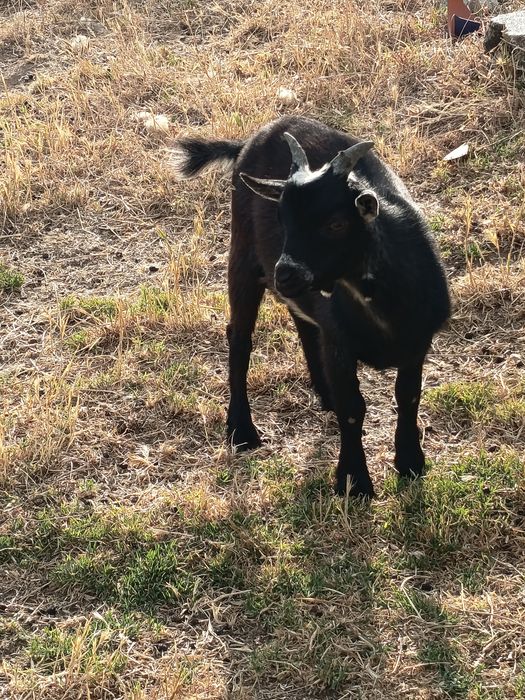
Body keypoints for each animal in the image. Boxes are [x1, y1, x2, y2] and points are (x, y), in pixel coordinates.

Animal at [171, 116, 451, 497]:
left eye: (336, 223)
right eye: (282, 219)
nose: (285, 274)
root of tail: (255, 137)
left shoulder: (417, 343)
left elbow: (408, 398)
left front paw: (410, 463)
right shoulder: (340, 345)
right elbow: (353, 410)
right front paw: (354, 481)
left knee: (303, 323)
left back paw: (323, 394)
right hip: (242, 255)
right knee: (240, 337)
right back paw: (241, 430)